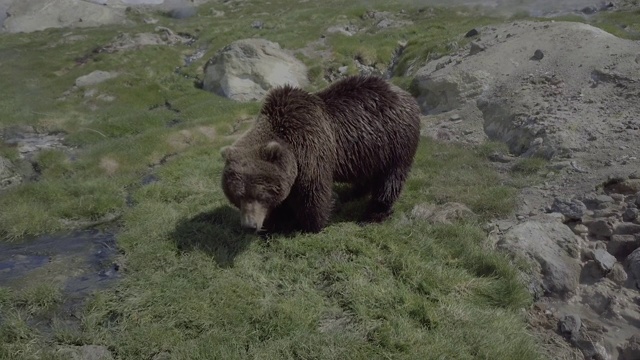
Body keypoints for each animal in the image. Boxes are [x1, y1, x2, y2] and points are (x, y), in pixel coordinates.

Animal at [220, 74, 420, 235]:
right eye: (237, 195)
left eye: (260, 195)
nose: (249, 226)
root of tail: (405, 94)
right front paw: (275, 221)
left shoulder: (311, 149)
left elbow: (313, 194)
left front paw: (309, 225)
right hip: (369, 151)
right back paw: (353, 193)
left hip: (395, 142)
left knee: (390, 179)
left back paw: (374, 213)